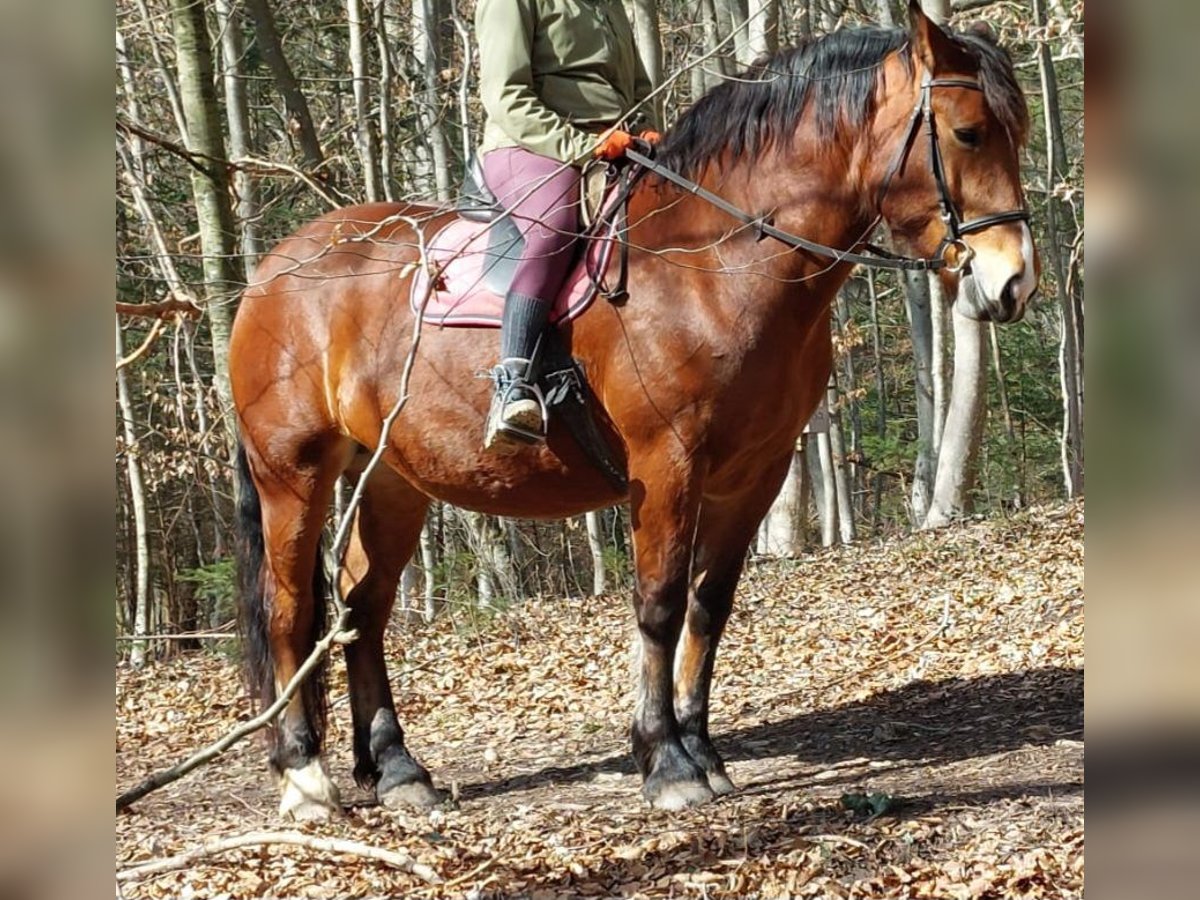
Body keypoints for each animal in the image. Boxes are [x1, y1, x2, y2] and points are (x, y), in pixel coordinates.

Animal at [229, 5, 1036, 825]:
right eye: (968, 132)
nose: (1014, 283)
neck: (713, 263)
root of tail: (273, 272)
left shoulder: (756, 474)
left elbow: (709, 608)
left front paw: (703, 753)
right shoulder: (667, 464)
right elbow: (659, 604)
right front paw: (668, 761)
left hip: (393, 478)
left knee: (363, 608)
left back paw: (396, 770)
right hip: (292, 475)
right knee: (290, 609)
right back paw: (305, 777)